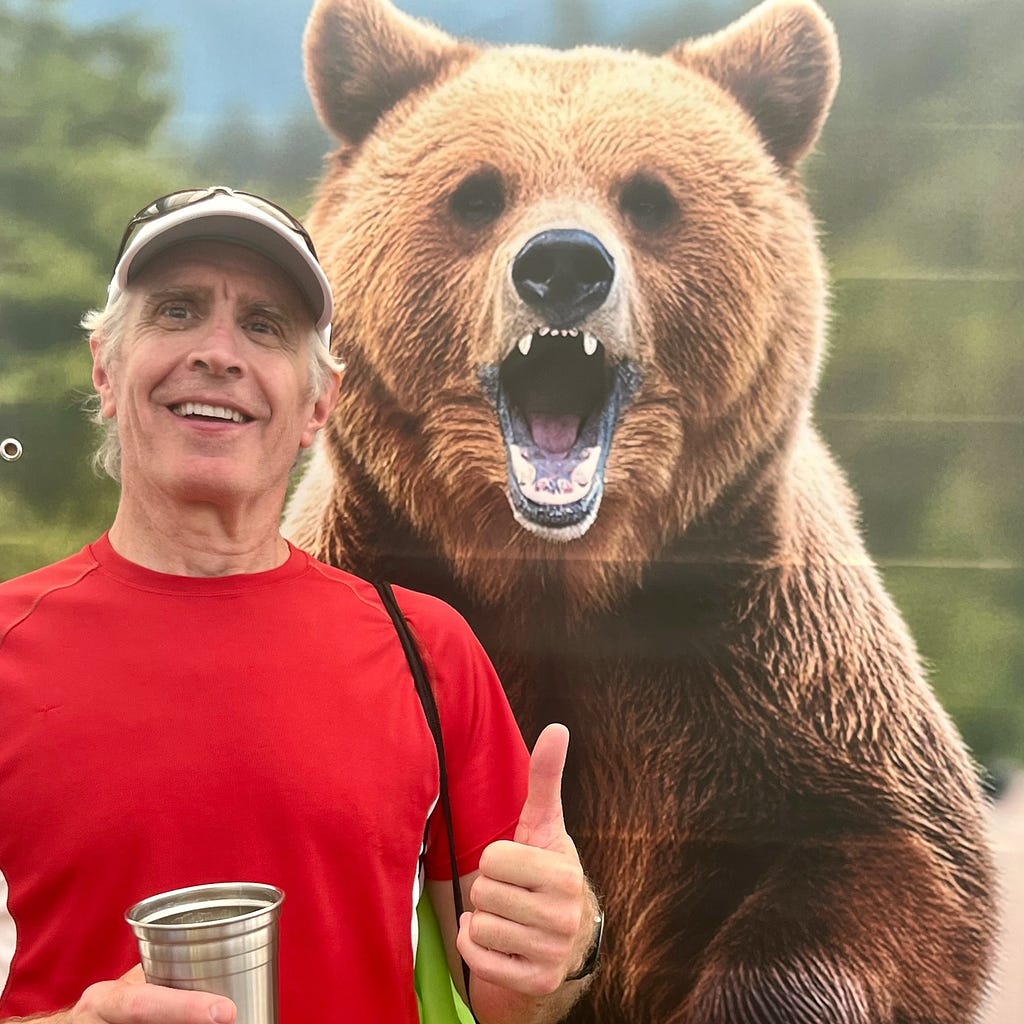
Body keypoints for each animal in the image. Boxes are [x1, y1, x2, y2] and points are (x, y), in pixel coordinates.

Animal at [284, 0, 995, 1019]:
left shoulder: (757, 659)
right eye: (477, 194)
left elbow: (890, 857)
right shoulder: (383, 565)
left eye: (651, 198)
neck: (560, 577)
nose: (562, 265)